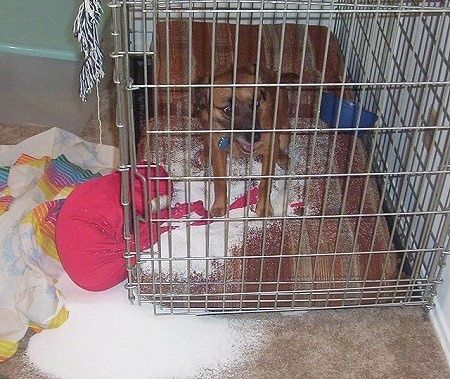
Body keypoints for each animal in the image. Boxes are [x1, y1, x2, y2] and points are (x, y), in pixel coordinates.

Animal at [195, 66, 290, 217]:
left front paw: (264, 207)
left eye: (256, 103)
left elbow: (266, 182)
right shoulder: (218, 148)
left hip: (285, 131)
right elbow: (220, 182)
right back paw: (205, 154)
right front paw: (220, 205)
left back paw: (282, 157)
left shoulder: (270, 149)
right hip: (204, 119)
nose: (256, 137)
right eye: (228, 109)